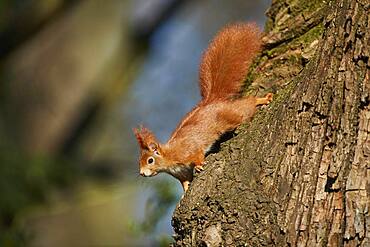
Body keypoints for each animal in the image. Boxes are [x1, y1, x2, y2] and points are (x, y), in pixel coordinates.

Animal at [133, 22, 272, 193]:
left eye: (150, 160)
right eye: (140, 160)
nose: (141, 173)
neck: (169, 157)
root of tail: (212, 100)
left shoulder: (188, 150)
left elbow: (197, 154)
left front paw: (199, 165)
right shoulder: (181, 172)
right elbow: (185, 181)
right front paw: (185, 191)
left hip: (230, 115)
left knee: (245, 106)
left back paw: (262, 100)